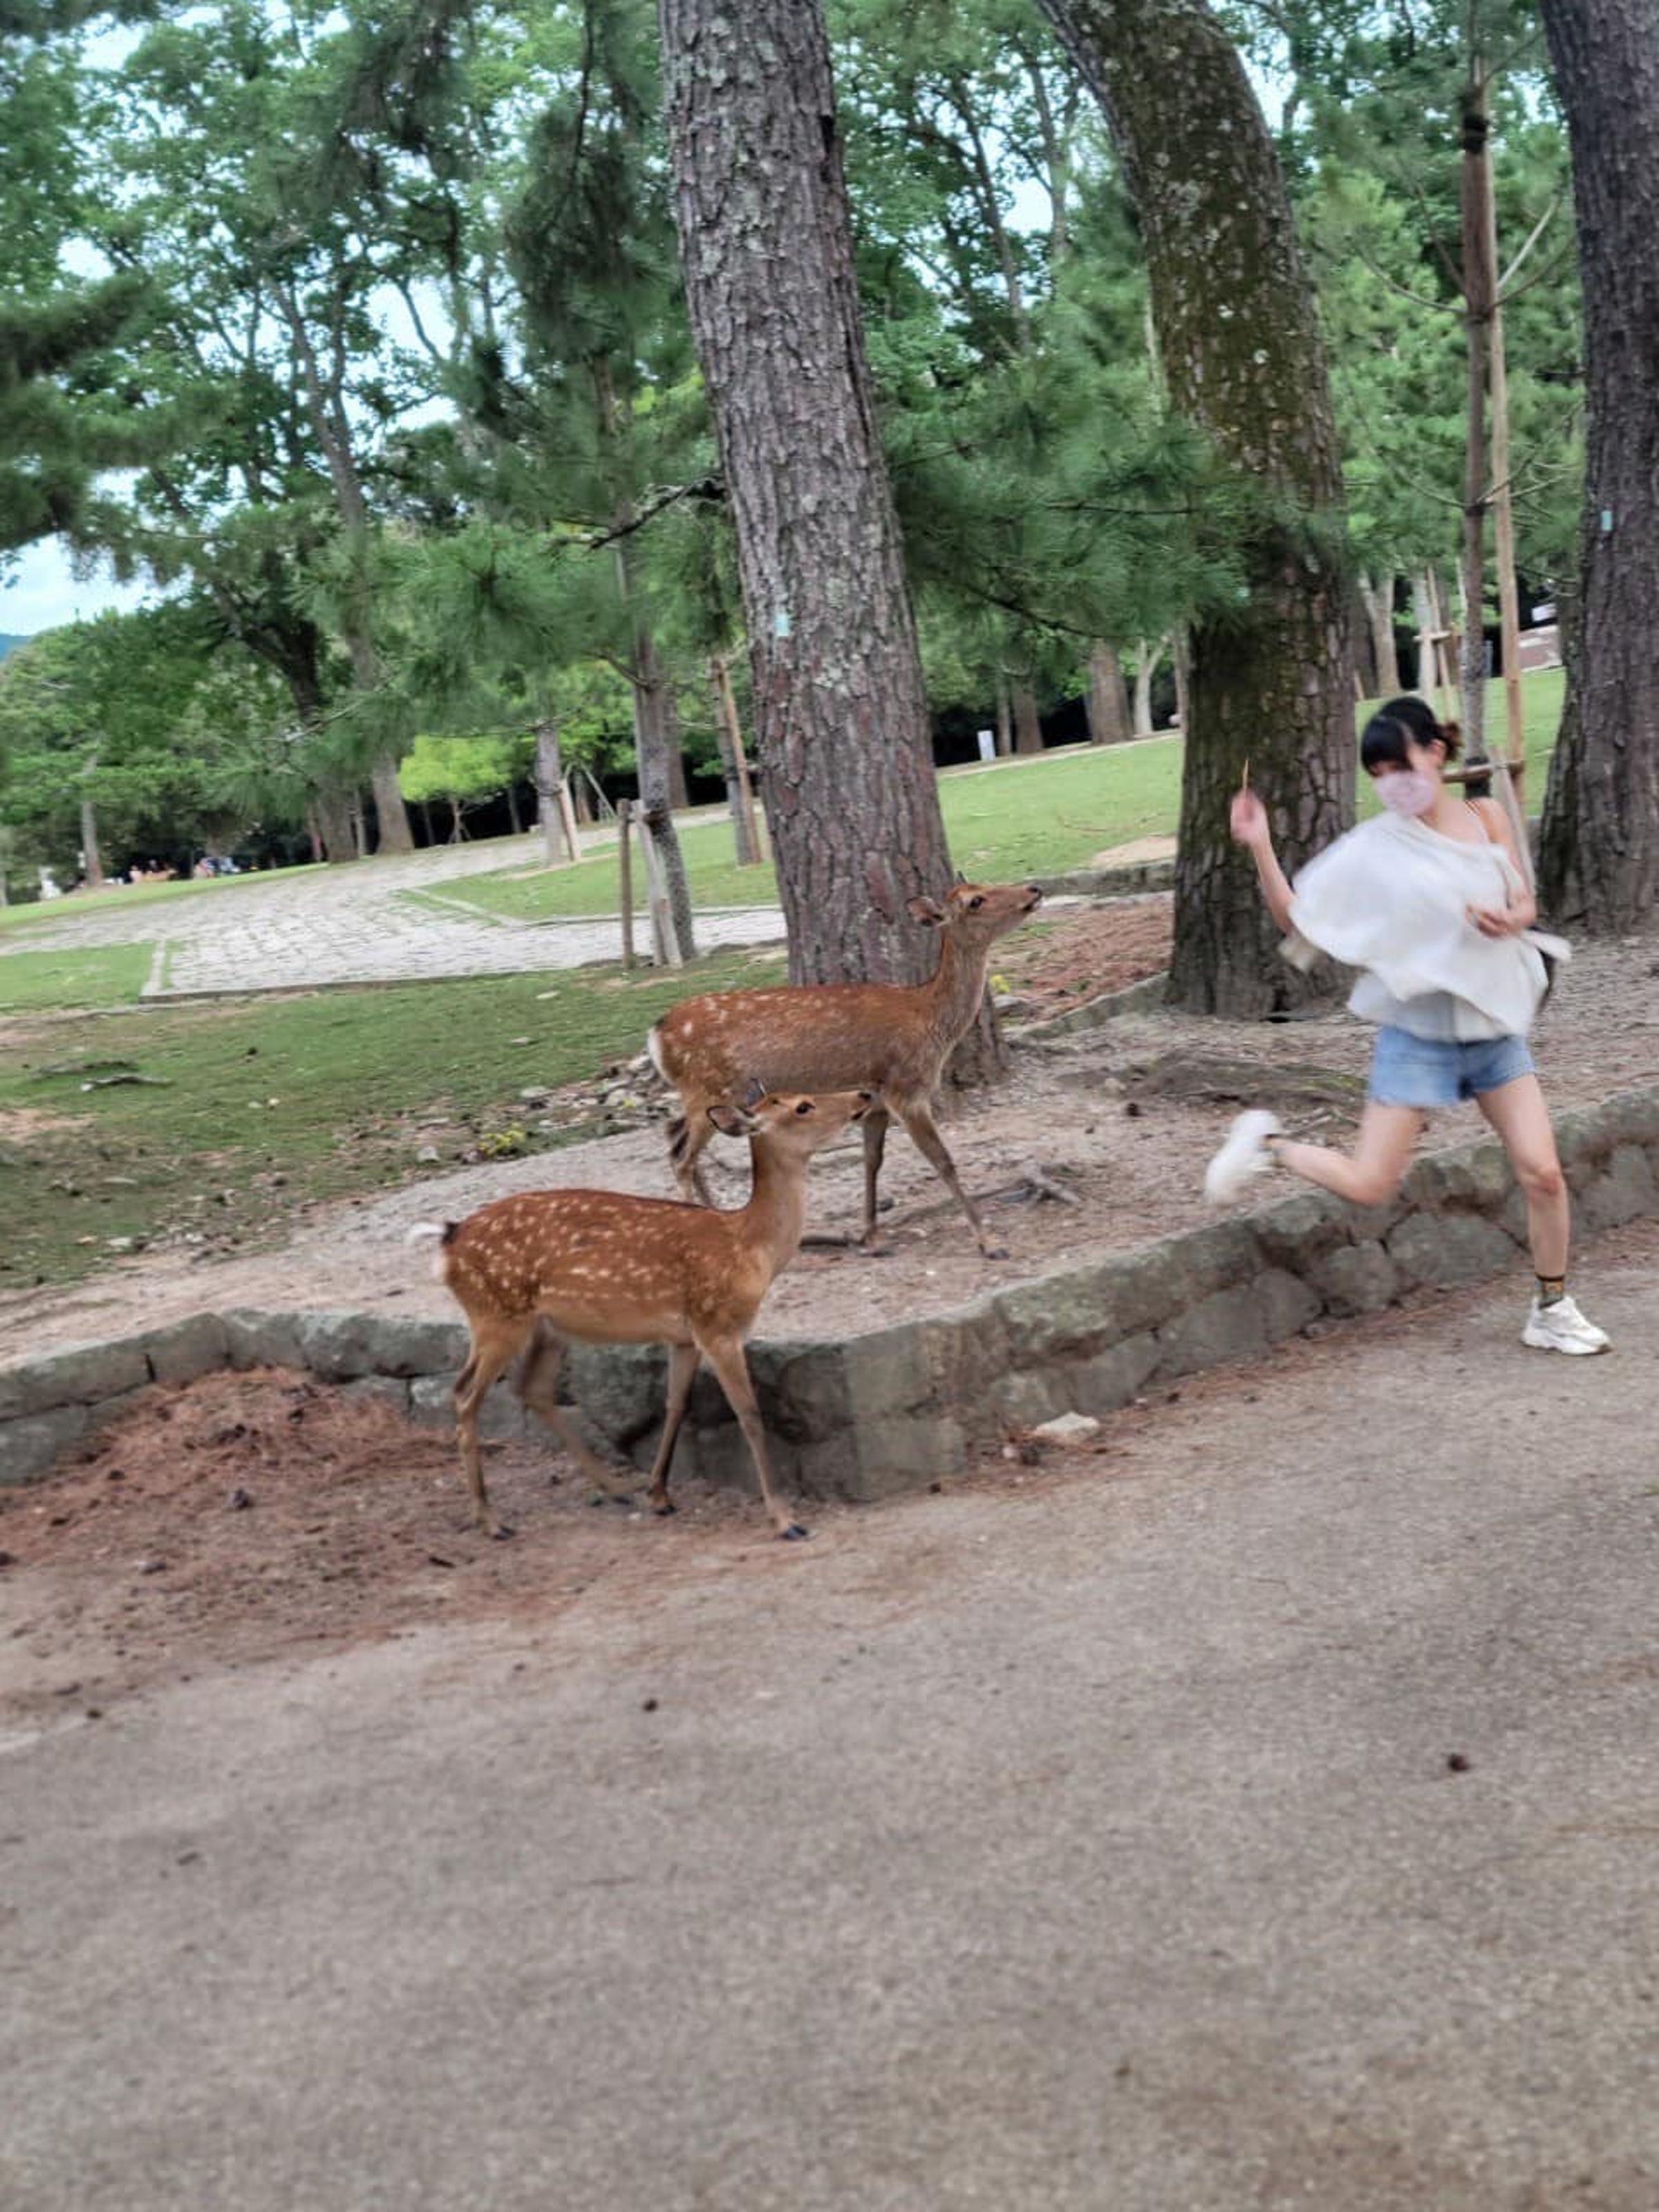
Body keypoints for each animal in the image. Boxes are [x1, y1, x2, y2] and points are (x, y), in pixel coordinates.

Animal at [410, 1085, 873, 1542]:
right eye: (803, 1106)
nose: (864, 1095)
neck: (751, 1248)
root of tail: (448, 1240)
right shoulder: (718, 1324)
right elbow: (750, 1416)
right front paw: (785, 1519)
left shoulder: (685, 1336)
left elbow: (675, 1404)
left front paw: (660, 1494)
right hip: (498, 1316)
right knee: (465, 1394)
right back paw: (490, 1520)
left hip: (546, 1326)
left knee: (531, 1389)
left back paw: (615, 1488)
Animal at [647, 878, 1044, 1260]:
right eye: (976, 901)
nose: (1034, 889)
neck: (930, 1023)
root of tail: (657, 1034)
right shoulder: (906, 1089)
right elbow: (943, 1160)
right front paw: (990, 1243)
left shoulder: (876, 1101)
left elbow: (872, 1161)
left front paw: (871, 1238)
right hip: (708, 1087)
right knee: (681, 1158)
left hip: (707, 1097)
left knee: (674, 1135)